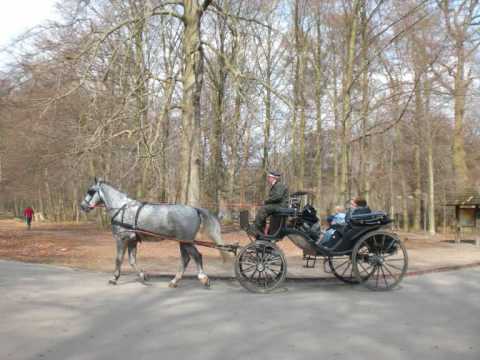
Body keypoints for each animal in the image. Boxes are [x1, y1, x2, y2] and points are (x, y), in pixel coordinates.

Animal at [79, 179, 226, 288]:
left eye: (91, 191)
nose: (82, 206)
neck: (121, 208)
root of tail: (195, 209)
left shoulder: (122, 239)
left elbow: (118, 259)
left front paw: (114, 278)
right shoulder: (132, 240)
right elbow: (132, 261)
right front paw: (143, 276)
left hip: (186, 241)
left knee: (196, 256)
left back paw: (203, 278)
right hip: (182, 242)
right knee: (186, 259)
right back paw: (174, 281)